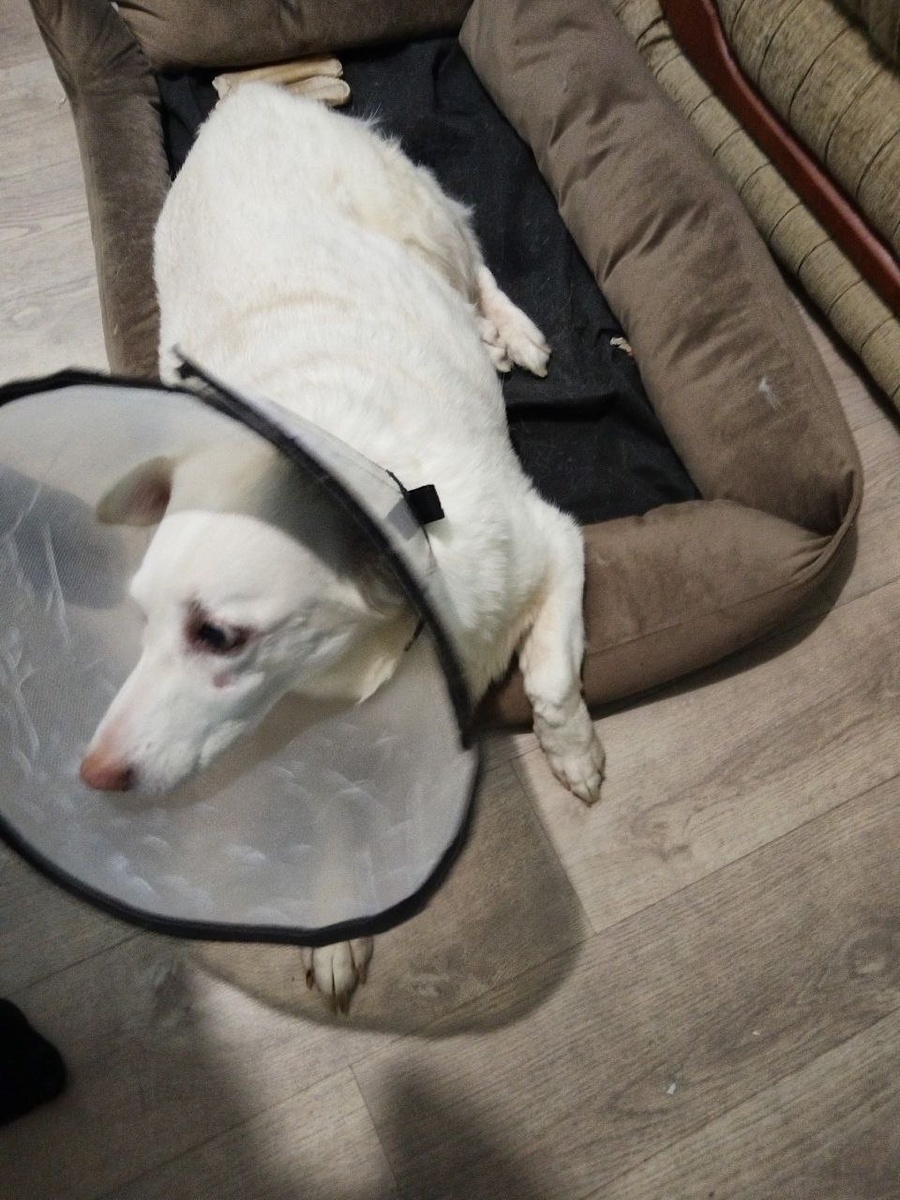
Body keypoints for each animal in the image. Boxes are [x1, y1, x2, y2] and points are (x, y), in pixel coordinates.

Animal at [79, 84, 604, 1008]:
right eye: (141, 620)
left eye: (219, 634)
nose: (93, 773)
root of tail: (248, 100)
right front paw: (332, 927)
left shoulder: (554, 541)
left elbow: (549, 680)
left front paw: (573, 753)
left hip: (422, 220)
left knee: (475, 261)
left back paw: (512, 331)